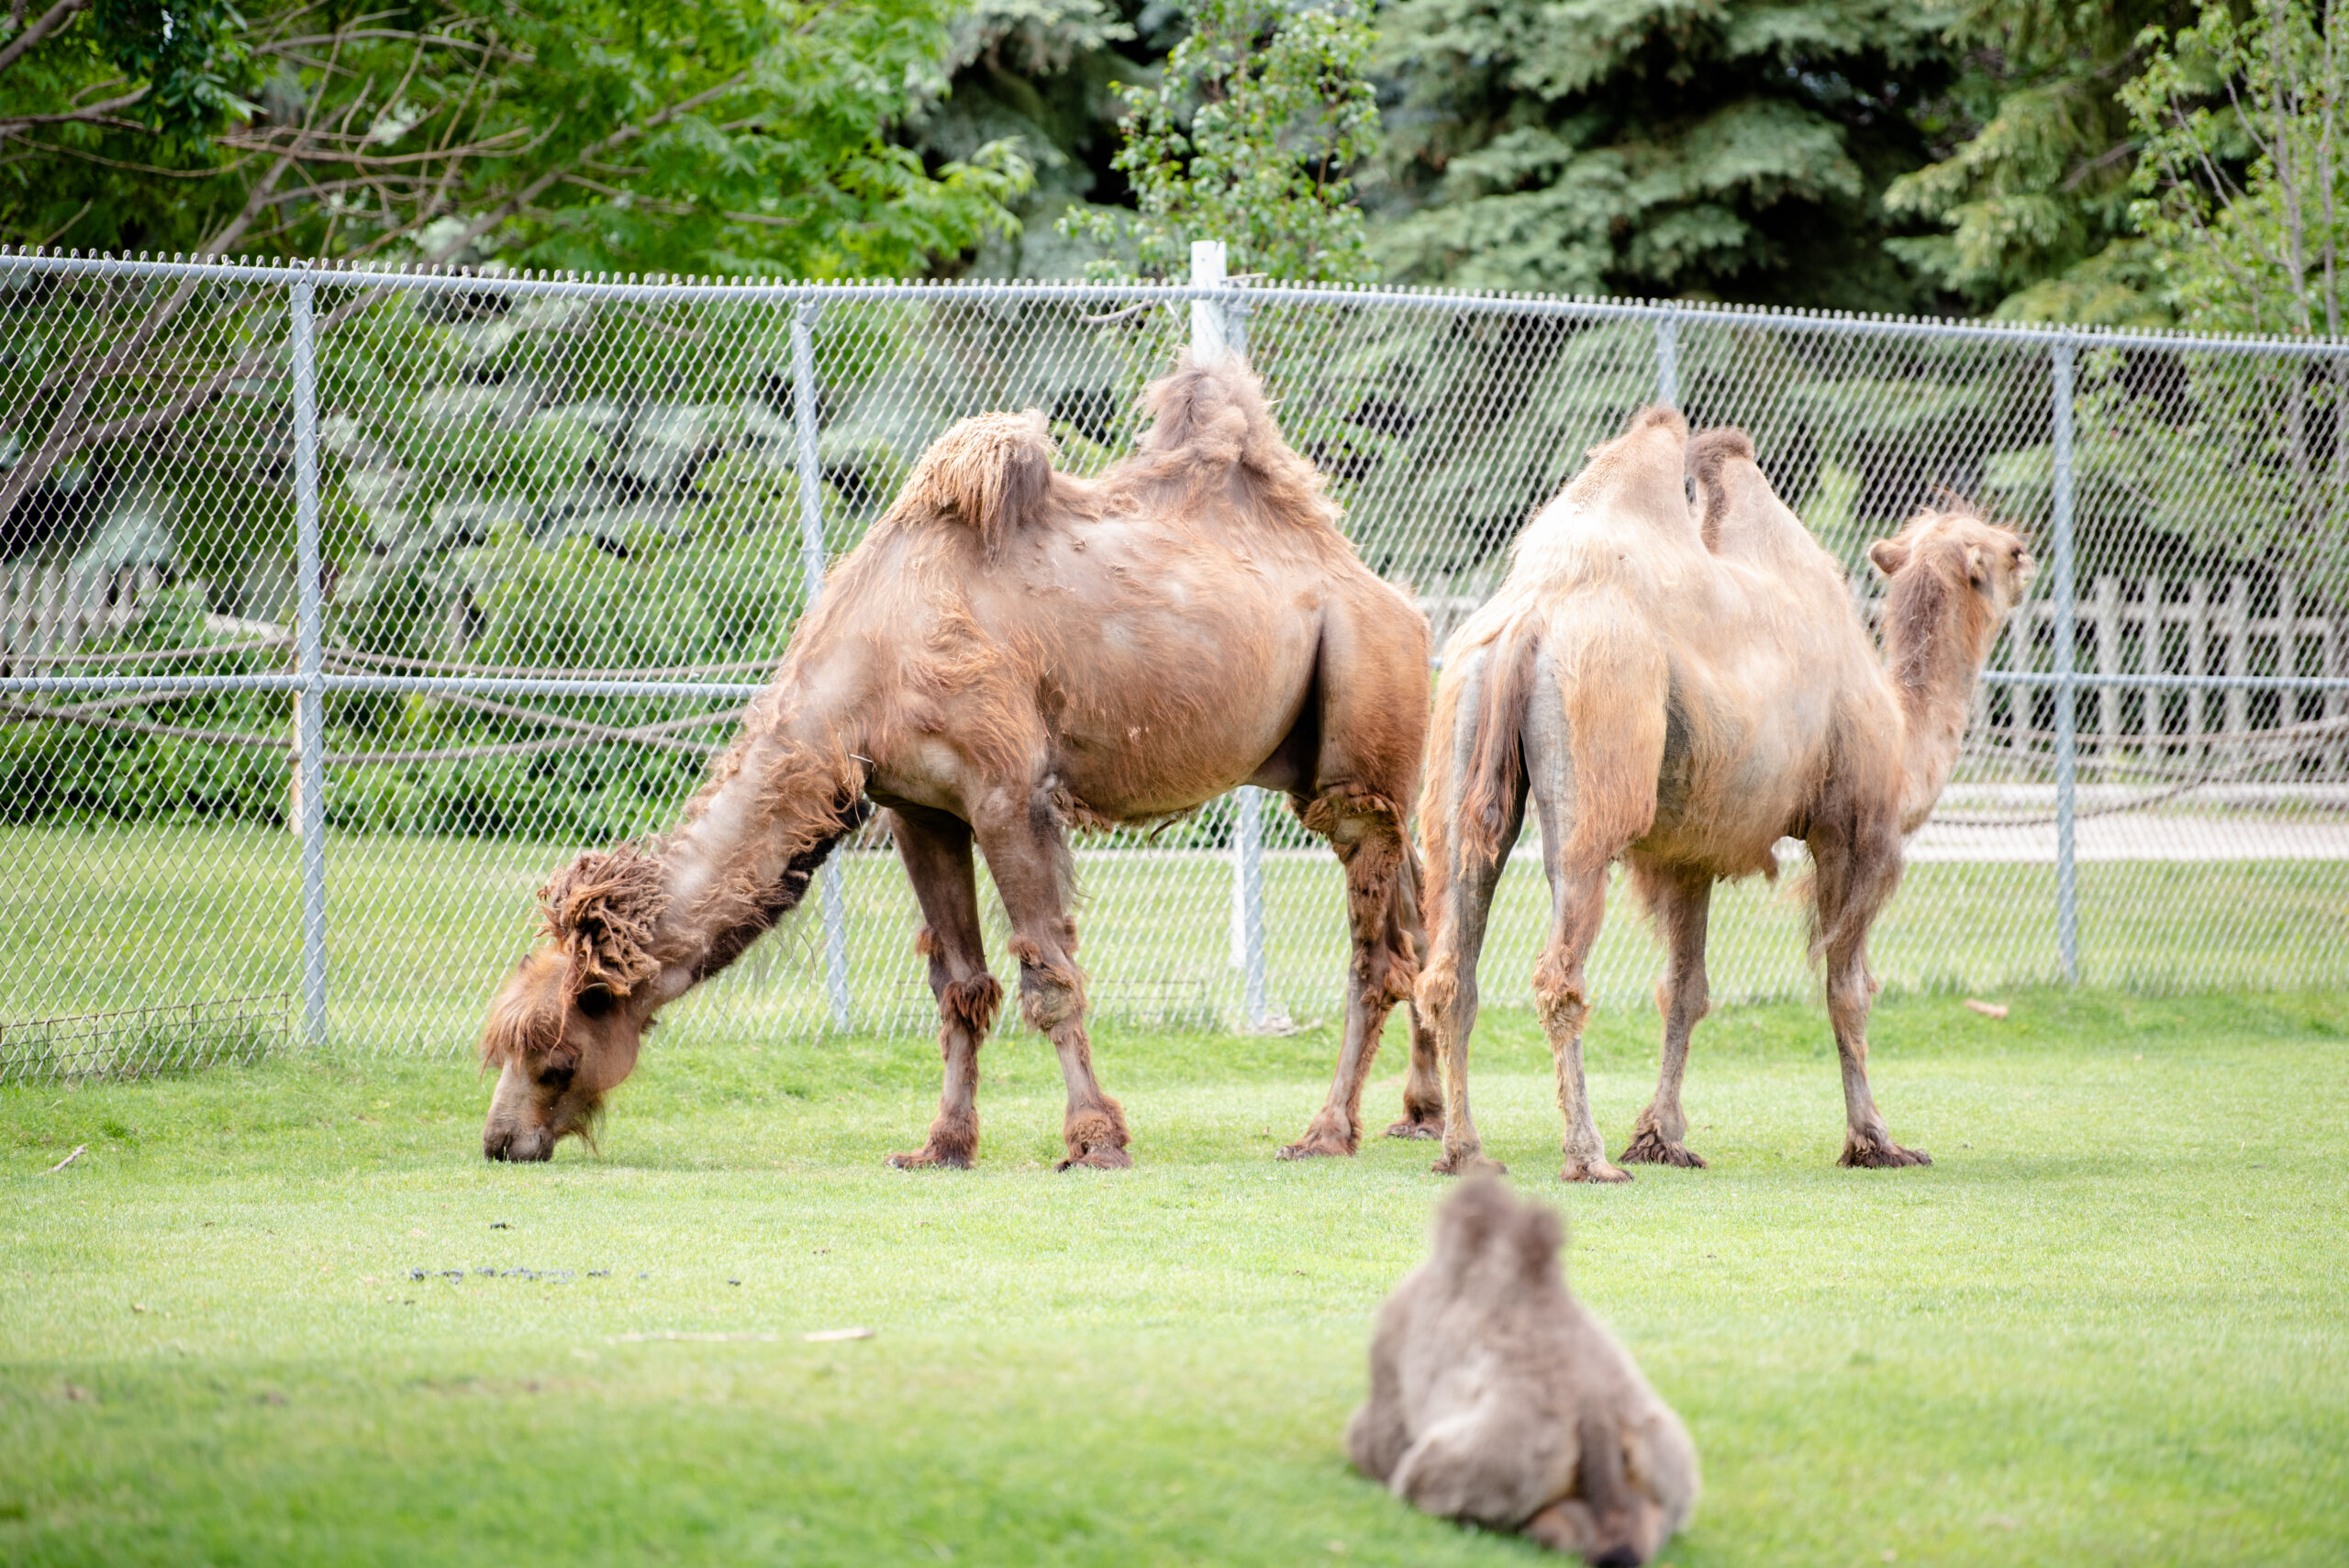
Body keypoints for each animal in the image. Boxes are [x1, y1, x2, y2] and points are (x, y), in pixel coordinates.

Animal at [476, 351, 1437, 1163]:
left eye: (554, 1051)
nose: (500, 1140)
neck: (866, 664)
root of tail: (1389, 593)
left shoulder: (1009, 794)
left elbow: (1049, 975)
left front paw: (1095, 1139)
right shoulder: (918, 807)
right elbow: (960, 988)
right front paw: (940, 1144)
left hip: (1361, 729)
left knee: (1372, 955)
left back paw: (1326, 1132)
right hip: (1358, 774)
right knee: (1421, 923)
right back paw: (1420, 1118)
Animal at [1353, 1183, 1700, 1558]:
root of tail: (1597, 1418)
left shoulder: (1396, 1333)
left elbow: (1380, 1434)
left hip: (1493, 1460)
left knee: (1427, 1478)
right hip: (1666, 1456)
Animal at [1409, 410, 2039, 1183]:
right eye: (2004, 551)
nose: (2028, 554)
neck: (1901, 730)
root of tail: (1529, 620)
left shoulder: (1689, 855)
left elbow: (1685, 990)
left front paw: (1661, 1136)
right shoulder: (1854, 833)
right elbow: (1848, 990)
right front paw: (1875, 1141)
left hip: (1458, 742)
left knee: (1450, 966)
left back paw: (1464, 1150)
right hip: (1596, 766)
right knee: (1560, 966)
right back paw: (1587, 1156)